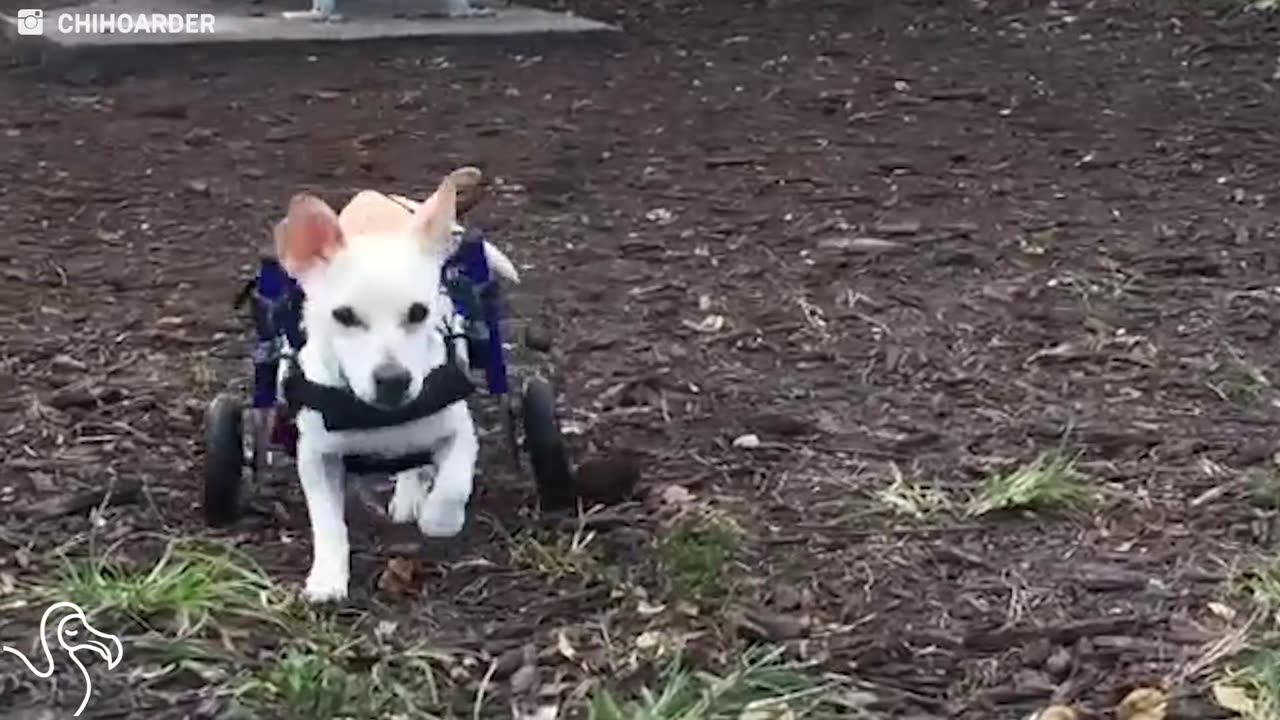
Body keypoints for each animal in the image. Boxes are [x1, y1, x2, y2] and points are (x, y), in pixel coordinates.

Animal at [275, 174, 514, 599]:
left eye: (419, 312)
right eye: (344, 316)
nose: (393, 379)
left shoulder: (460, 433)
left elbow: (452, 485)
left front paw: (438, 519)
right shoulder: (316, 457)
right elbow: (328, 522)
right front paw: (328, 578)